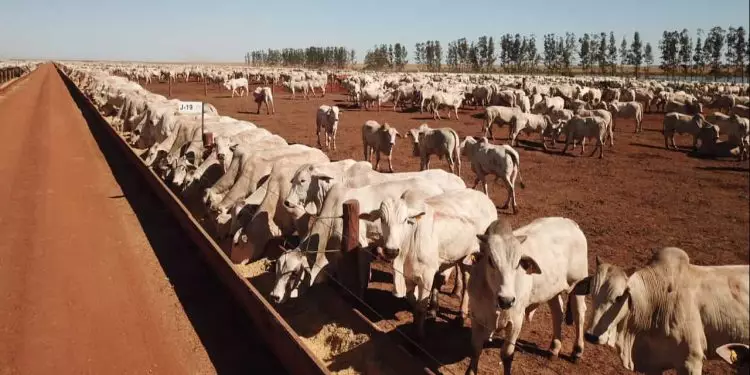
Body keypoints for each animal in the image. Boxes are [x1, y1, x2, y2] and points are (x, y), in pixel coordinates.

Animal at [468, 217, 592, 375]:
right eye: (491, 261)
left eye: (517, 264)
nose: (506, 300)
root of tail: (571, 223)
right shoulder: (477, 317)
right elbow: (475, 350)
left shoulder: (515, 321)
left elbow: (507, 354)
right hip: (552, 291)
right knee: (557, 313)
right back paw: (554, 348)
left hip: (578, 285)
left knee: (579, 314)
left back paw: (577, 351)